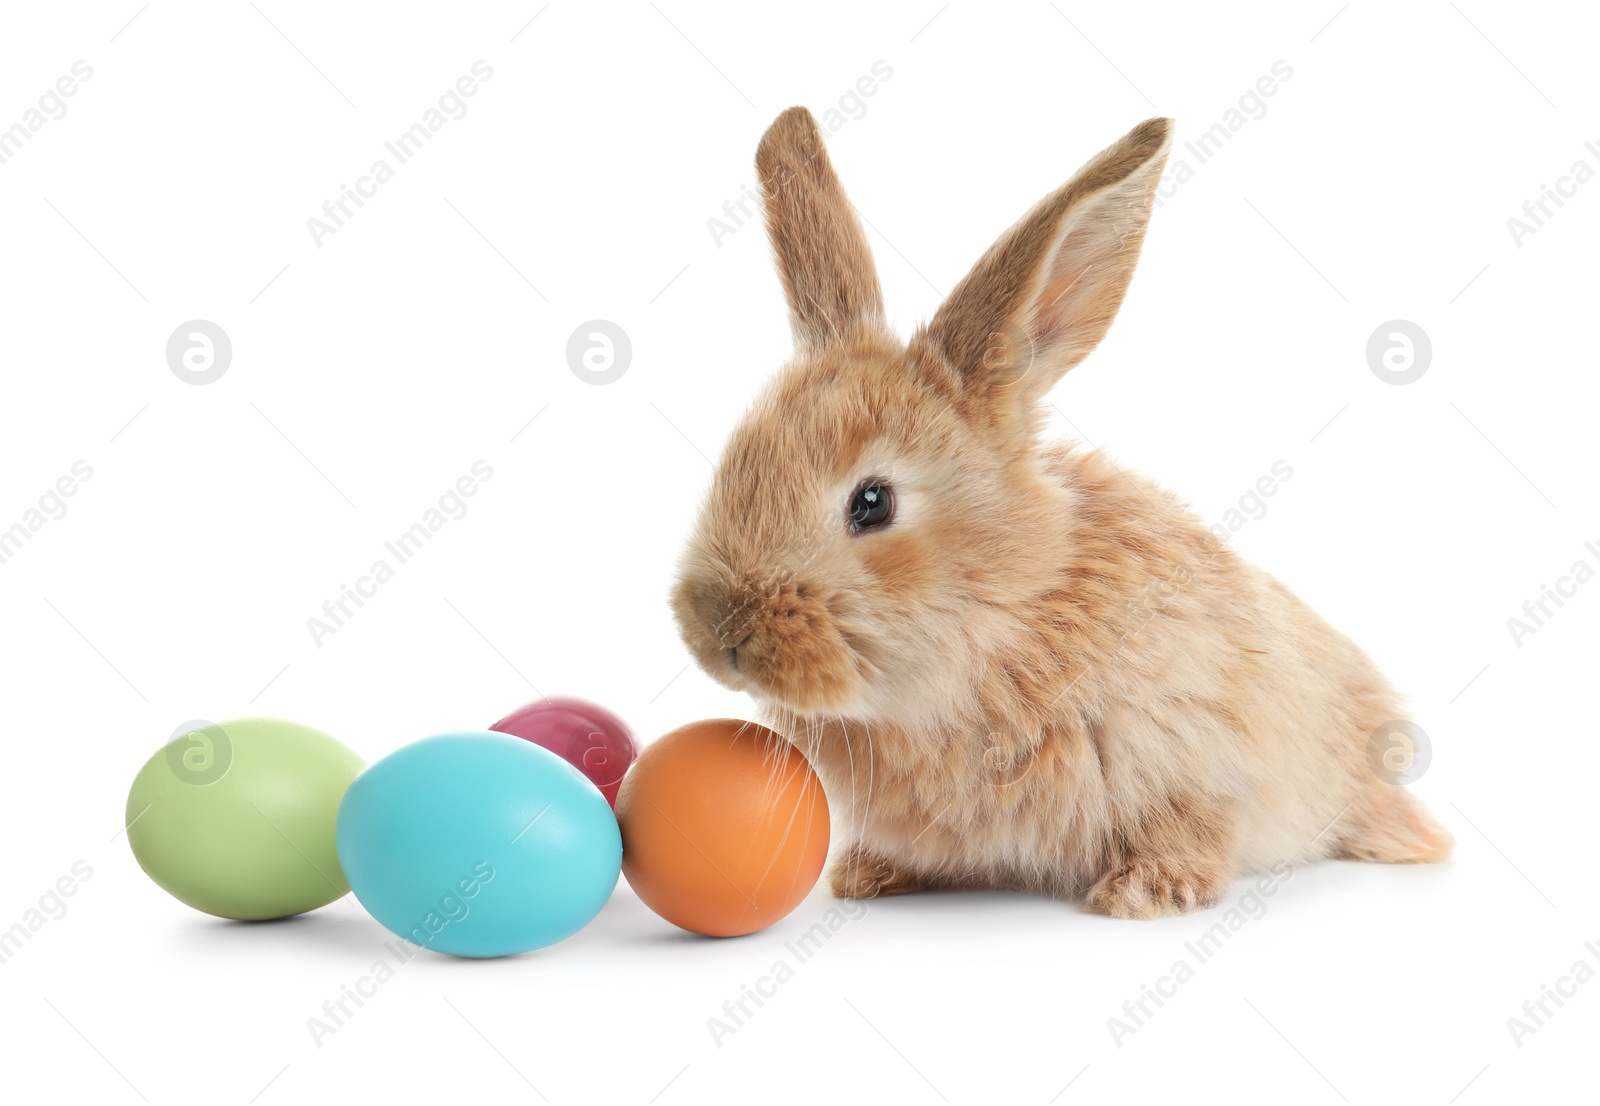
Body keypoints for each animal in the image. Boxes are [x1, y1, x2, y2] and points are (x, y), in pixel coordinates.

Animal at [668, 105, 1459, 915]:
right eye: (734, 462)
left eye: (872, 502)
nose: (721, 630)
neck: (1008, 613)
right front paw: (866, 875)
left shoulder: (1196, 753)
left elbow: (1195, 825)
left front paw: (1148, 892)